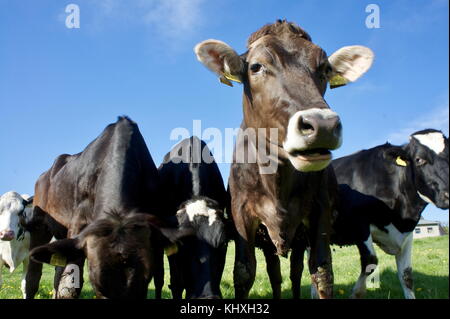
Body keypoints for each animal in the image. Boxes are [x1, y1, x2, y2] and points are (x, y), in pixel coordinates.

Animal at [195, 20, 374, 300]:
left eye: (325, 69)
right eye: (256, 66)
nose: (323, 125)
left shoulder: (320, 210)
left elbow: (322, 272)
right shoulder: (241, 213)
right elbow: (244, 272)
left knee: (295, 271)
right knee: (275, 273)